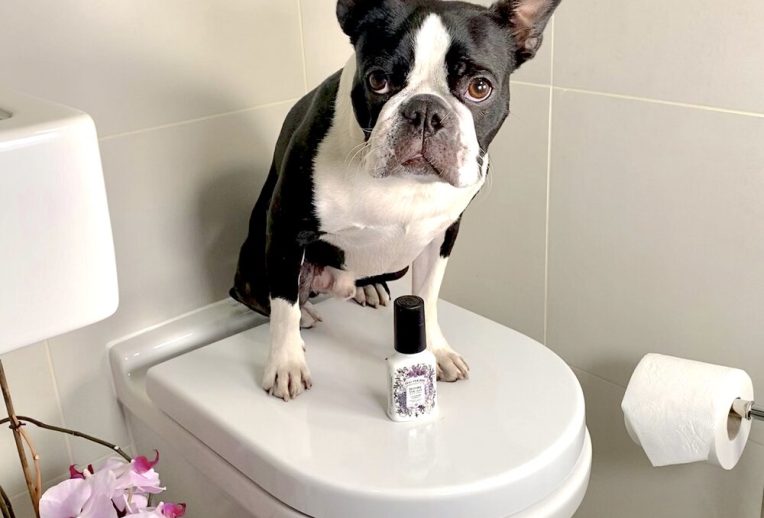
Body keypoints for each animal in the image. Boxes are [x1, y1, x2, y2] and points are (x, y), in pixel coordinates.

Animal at [230, 0, 560, 402]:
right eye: (378, 80)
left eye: (480, 87)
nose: (426, 111)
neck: (405, 183)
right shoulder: (286, 225)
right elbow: (283, 305)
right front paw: (285, 363)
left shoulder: (443, 233)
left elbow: (428, 296)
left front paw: (436, 349)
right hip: (259, 259)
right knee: (263, 294)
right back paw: (304, 315)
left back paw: (367, 287)